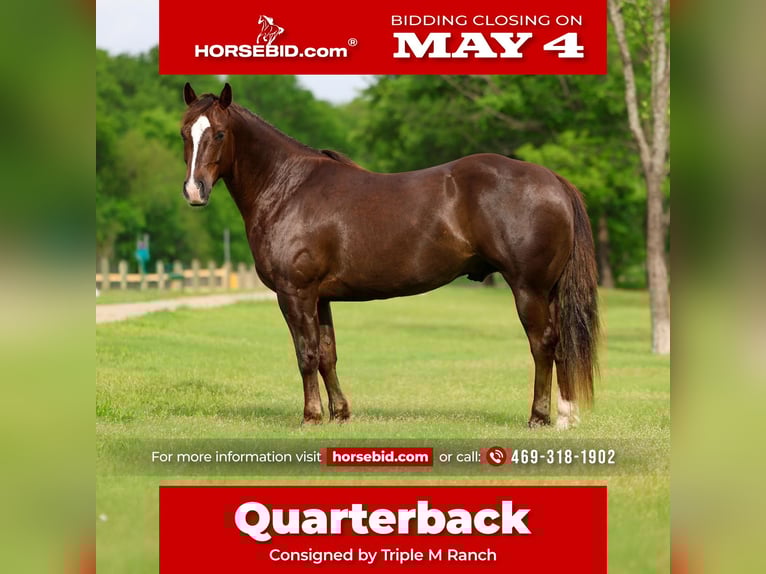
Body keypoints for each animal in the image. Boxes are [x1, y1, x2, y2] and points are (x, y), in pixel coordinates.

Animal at [180, 83, 599, 429]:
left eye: (219, 133)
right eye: (185, 133)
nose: (194, 191)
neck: (288, 189)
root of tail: (553, 179)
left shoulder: (295, 294)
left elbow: (306, 355)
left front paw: (311, 417)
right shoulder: (320, 297)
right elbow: (328, 354)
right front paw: (340, 414)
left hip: (529, 288)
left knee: (542, 343)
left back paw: (539, 417)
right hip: (549, 290)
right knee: (561, 343)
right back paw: (566, 416)